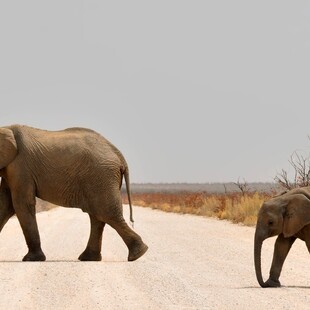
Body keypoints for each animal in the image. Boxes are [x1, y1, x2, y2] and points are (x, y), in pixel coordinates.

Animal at [0, 123, 149, 262]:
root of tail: (118, 154)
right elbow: (6, 205)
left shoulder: (21, 167)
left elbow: (20, 204)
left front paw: (32, 259)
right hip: (100, 179)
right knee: (97, 216)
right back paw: (90, 258)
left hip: (101, 176)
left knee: (106, 213)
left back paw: (138, 253)